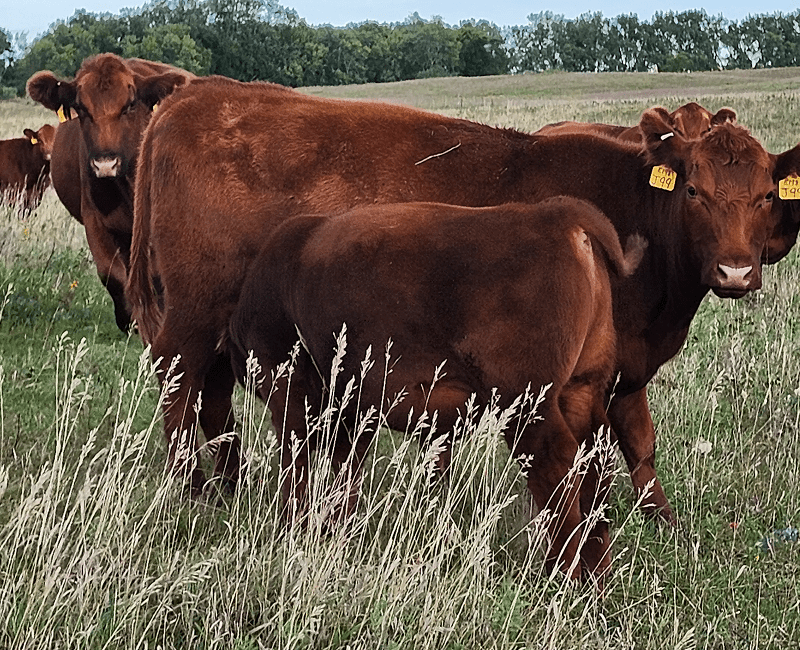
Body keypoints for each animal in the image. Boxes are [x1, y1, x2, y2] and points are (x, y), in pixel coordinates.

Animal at [26, 54, 193, 331]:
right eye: (81, 109)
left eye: (130, 105)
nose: (105, 163)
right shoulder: (95, 221)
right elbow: (112, 274)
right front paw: (130, 321)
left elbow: (157, 276)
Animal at [127, 75, 798, 521]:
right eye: (694, 191)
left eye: (767, 193)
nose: (736, 271)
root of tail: (194, 96)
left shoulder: (621, 366)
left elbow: (638, 440)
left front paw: (657, 518)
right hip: (195, 315)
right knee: (179, 384)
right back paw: (193, 490)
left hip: (225, 330)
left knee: (213, 396)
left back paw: (228, 483)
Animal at [228, 198, 646, 580]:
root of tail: (556, 213)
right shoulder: (355, 406)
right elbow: (345, 467)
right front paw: (334, 529)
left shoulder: (290, 386)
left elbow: (296, 461)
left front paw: (293, 528)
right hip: (580, 389)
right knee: (596, 461)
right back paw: (597, 575)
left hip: (530, 404)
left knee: (557, 465)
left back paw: (563, 573)